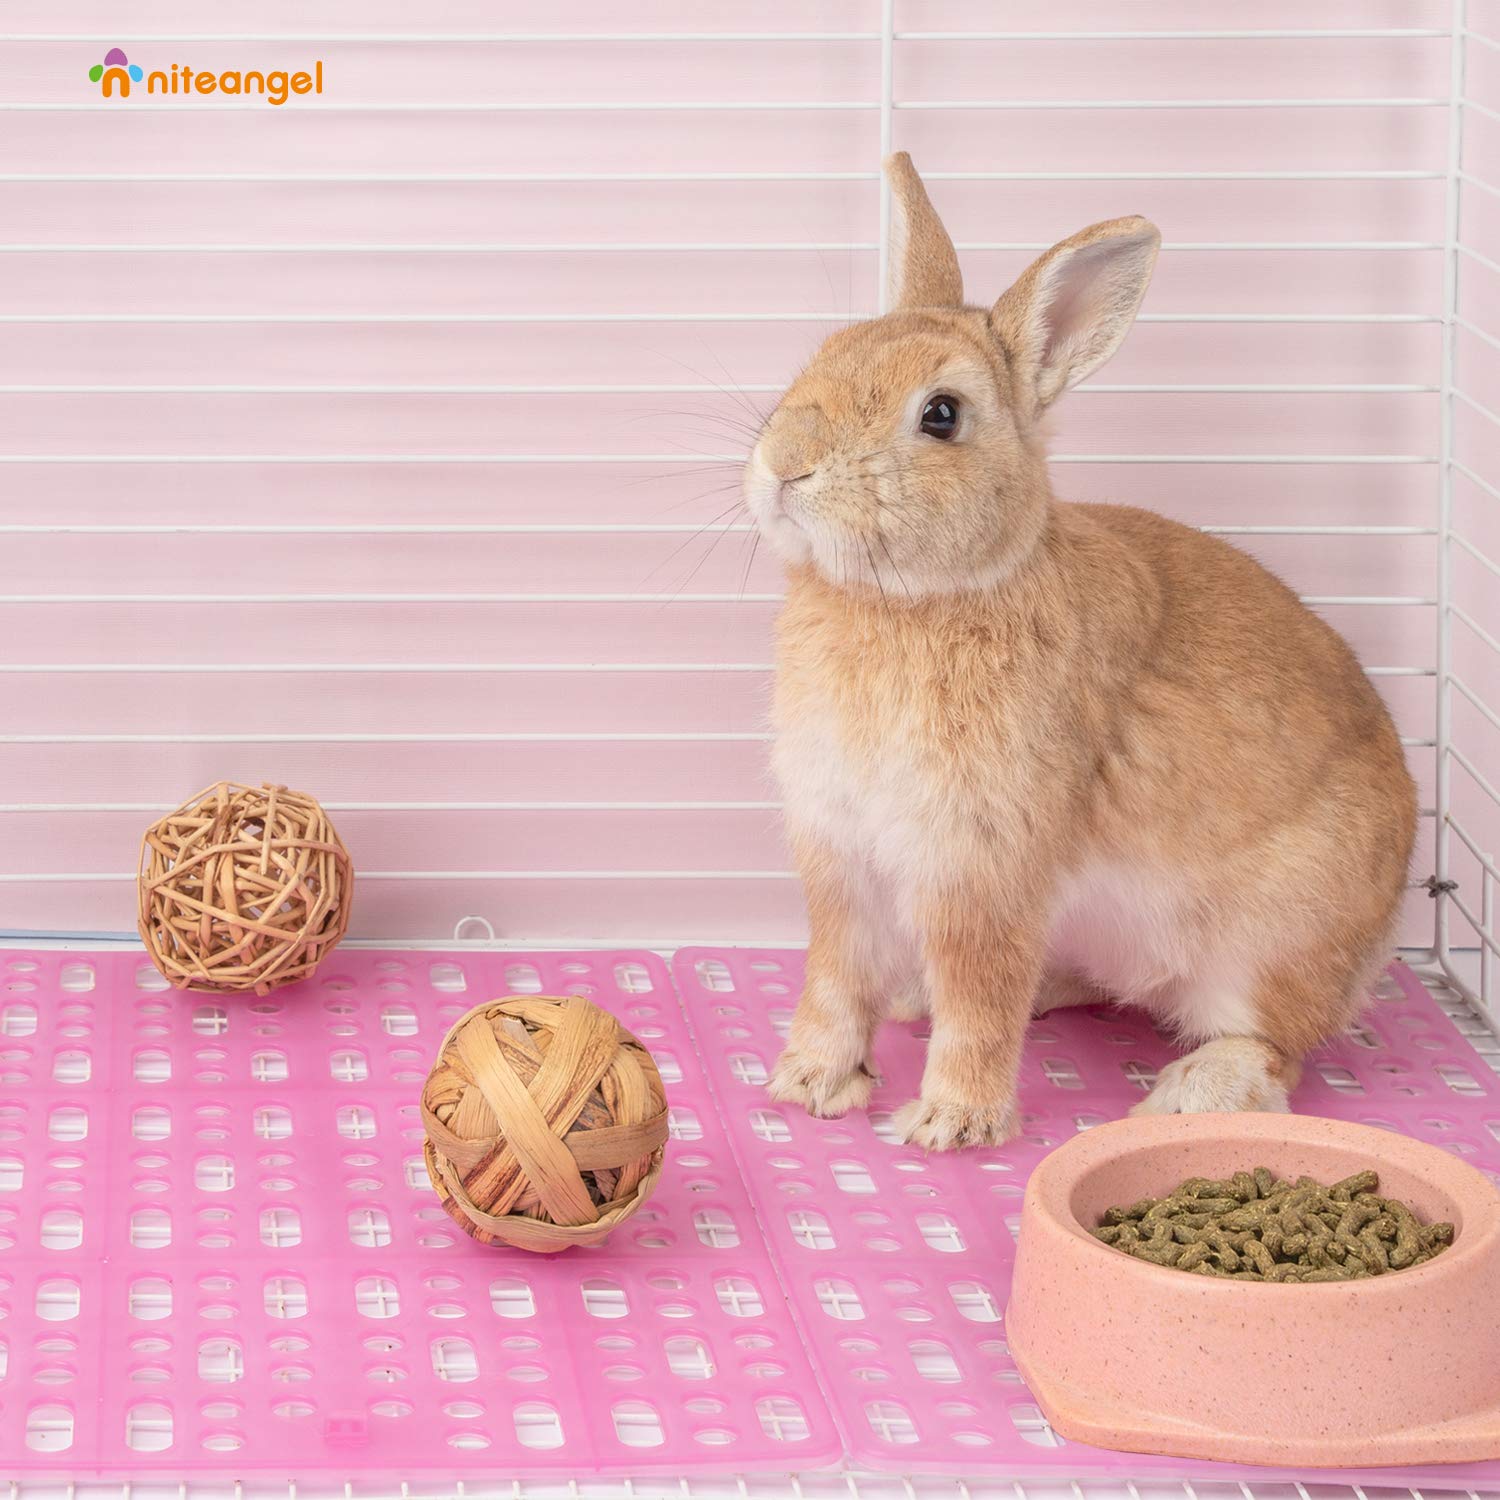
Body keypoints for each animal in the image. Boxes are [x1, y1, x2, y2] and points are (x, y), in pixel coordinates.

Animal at [744, 153, 1418, 1150]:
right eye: (828, 351)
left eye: (941, 415)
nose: (785, 463)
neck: (914, 598)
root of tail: (1387, 933)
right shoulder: (840, 855)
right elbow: (835, 976)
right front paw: (808, 1083)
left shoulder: (986, 865)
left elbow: (980, 997)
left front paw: (950, 1123)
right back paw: (927, 1000)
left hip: (1272, 944)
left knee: (1275, 1045)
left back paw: (1193, 1091)